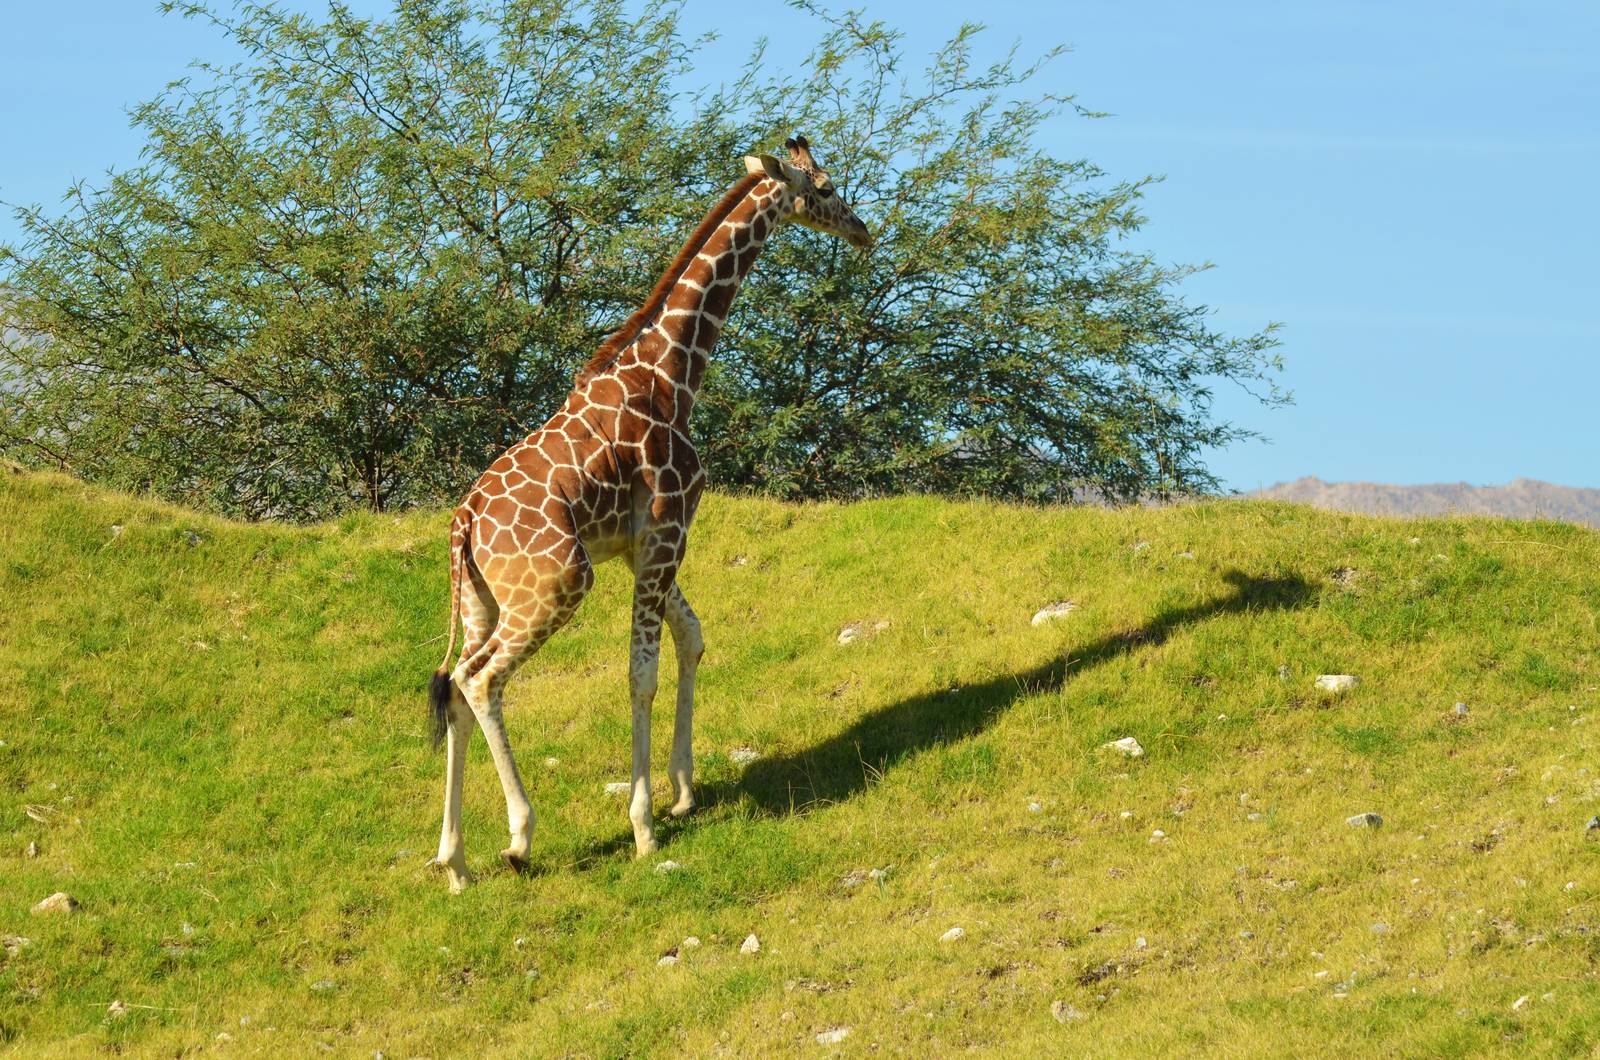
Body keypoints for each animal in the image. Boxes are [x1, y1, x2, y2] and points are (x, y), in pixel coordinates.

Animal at [427, 136, 872, 892]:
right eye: (826, 187)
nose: (864, 230)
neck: (673, 373)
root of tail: (466, 522)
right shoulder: (668, 524)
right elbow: (642, 674)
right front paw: (643, 827)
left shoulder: (643, 542)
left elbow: (691, 638)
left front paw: (684, 791)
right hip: (557, 582)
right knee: (482, 679)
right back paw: (519, 838)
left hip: (483, 600)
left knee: (456, 685)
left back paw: (454, 862)